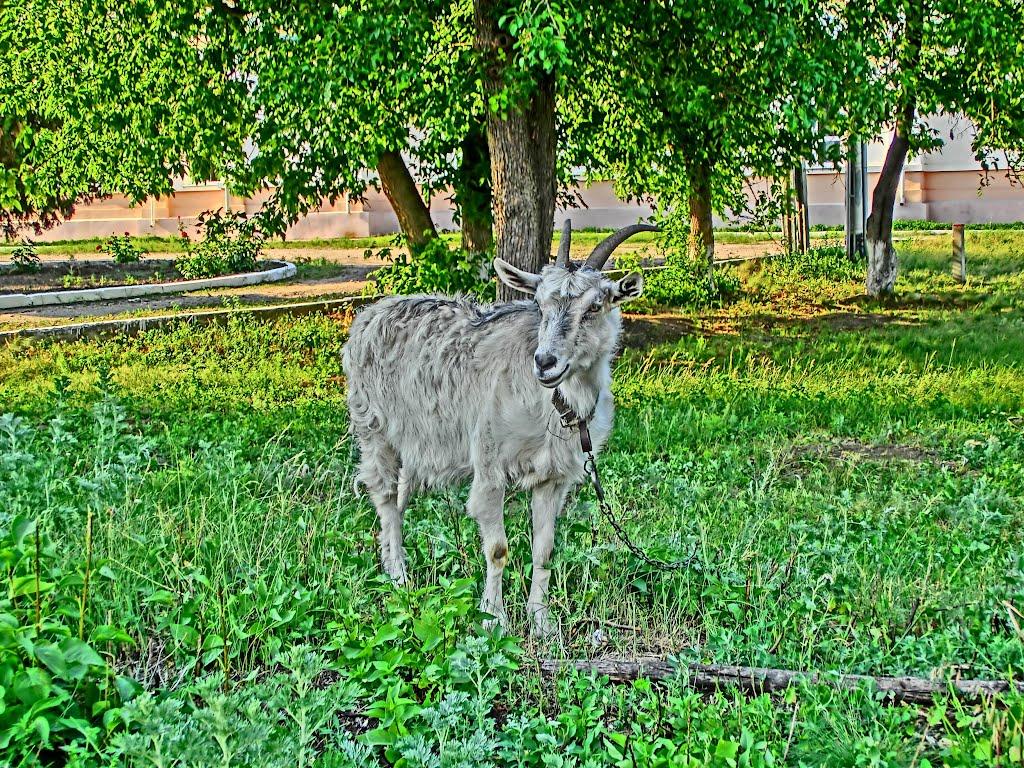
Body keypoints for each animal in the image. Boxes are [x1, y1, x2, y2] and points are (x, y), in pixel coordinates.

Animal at [339, 219, 651, 634]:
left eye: (594, 307)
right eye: (540, 304)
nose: (545, 362)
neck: (554, 403)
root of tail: (369, 315)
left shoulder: (554, 477)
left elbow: (545, 550)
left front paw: (541, 621)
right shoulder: (489, 465)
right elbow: (498, 549)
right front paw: (493, 619)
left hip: (417, 444)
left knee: (400, 496)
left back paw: (391, 564)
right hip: (375, 428)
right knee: (386, 495)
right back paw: (401, 577)